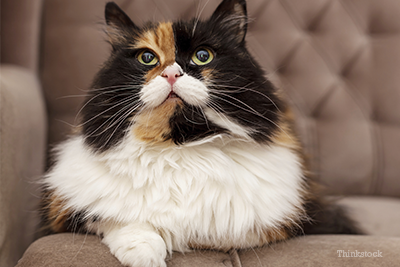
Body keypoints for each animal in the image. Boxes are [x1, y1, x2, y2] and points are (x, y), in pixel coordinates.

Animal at [41, 0, 362, 267]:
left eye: (203, 56)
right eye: (147, 58)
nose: (171, 74)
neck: (180, 146)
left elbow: (228, 232)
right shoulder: (63, 211)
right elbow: (120, 222)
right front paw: (146, 254)